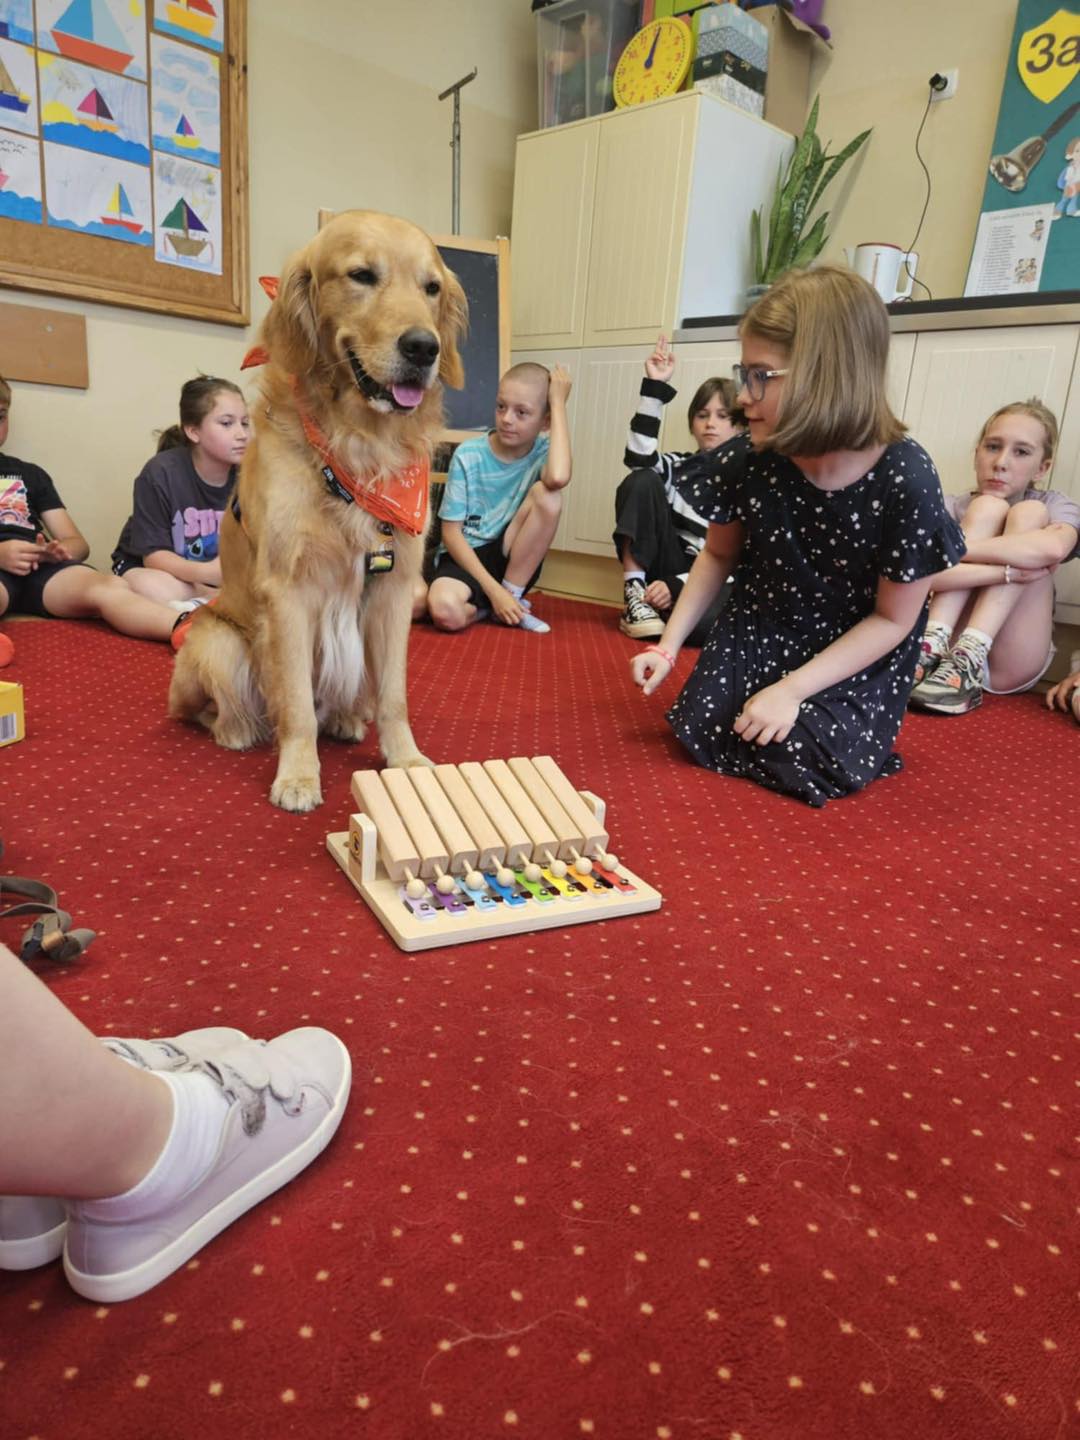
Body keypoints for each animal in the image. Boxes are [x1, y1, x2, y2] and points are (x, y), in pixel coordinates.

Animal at [168, 210, 467, 812]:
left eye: (432, 288)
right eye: (362, 275)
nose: (423, 348)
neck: (359, 448)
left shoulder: (395, 589)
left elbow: (394, 695)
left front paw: (405, 760)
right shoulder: (288, 591)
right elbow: (297, 706)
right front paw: (299, 776)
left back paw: (348, 719)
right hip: (215, 641)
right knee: (210, 709)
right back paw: (237, 729)